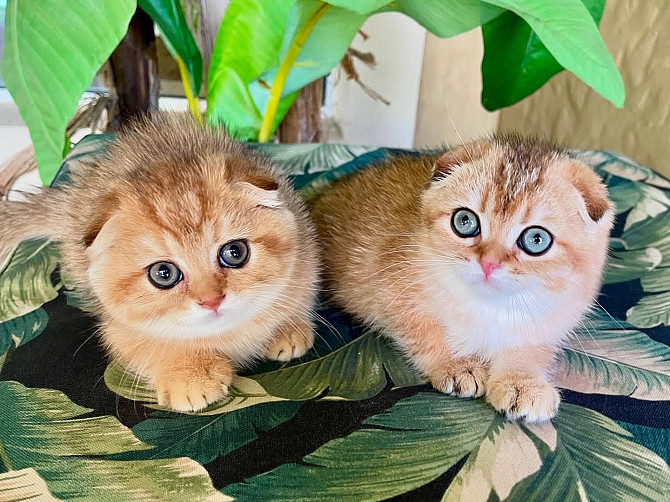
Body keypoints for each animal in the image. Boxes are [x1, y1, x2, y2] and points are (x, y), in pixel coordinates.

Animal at [0, 113, 320, 412]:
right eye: (163, 274)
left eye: (235, 253)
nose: (212, 300)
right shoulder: (117, 327)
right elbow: (146, 347)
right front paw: (189, 373)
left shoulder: (306, 259)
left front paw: (288, 326)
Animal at [312, 137, 616, 424]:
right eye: (465, 221)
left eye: (536, 239)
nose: (489, 263)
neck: (488, 306)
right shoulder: (389, 285)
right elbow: (423, 329)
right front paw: (456, 364)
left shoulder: (551, 318)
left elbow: (528, 348)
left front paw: (522, 382)